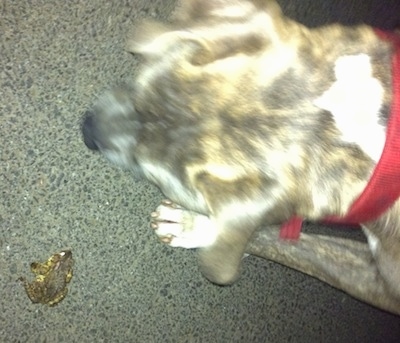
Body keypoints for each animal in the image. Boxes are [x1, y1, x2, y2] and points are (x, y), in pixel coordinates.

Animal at [81, 0, 400, 314]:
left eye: (142, 167)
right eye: (138, 94)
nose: (87, 130)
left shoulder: (384, 288)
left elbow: (275, 241)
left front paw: (194, 226)